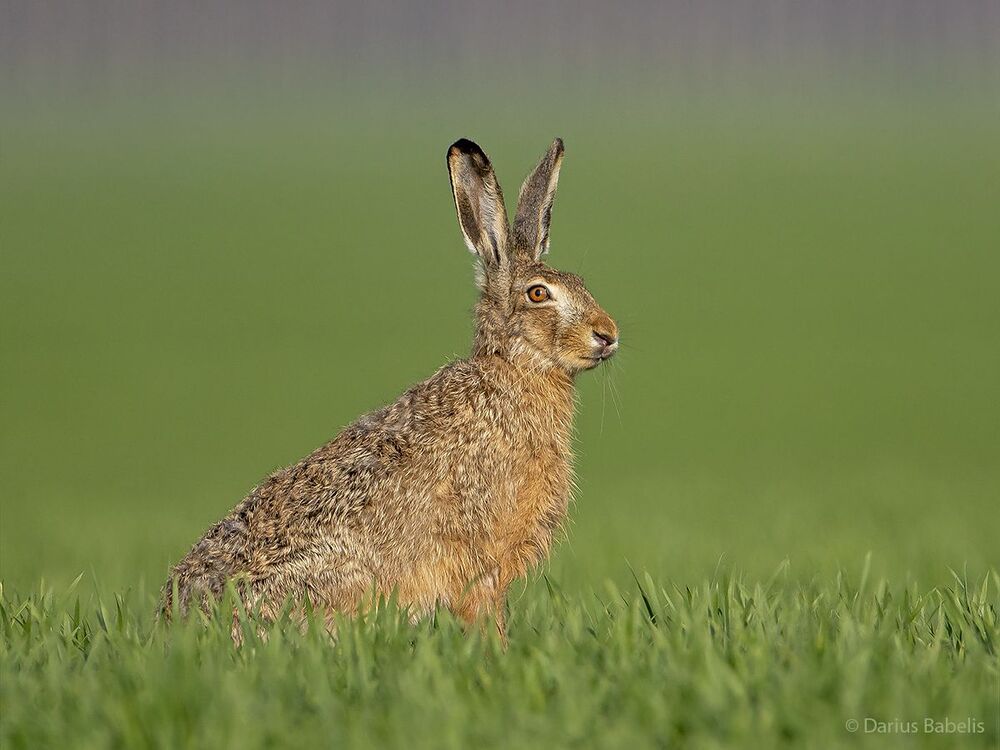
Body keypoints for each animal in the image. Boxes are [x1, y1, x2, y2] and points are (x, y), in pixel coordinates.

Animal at [161, 138, 619, 644]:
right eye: (539, 294)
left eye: (581, 284)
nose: (608, 334)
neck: (514, 370)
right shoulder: (480, 557)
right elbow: (484, 615)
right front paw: (498, 651)